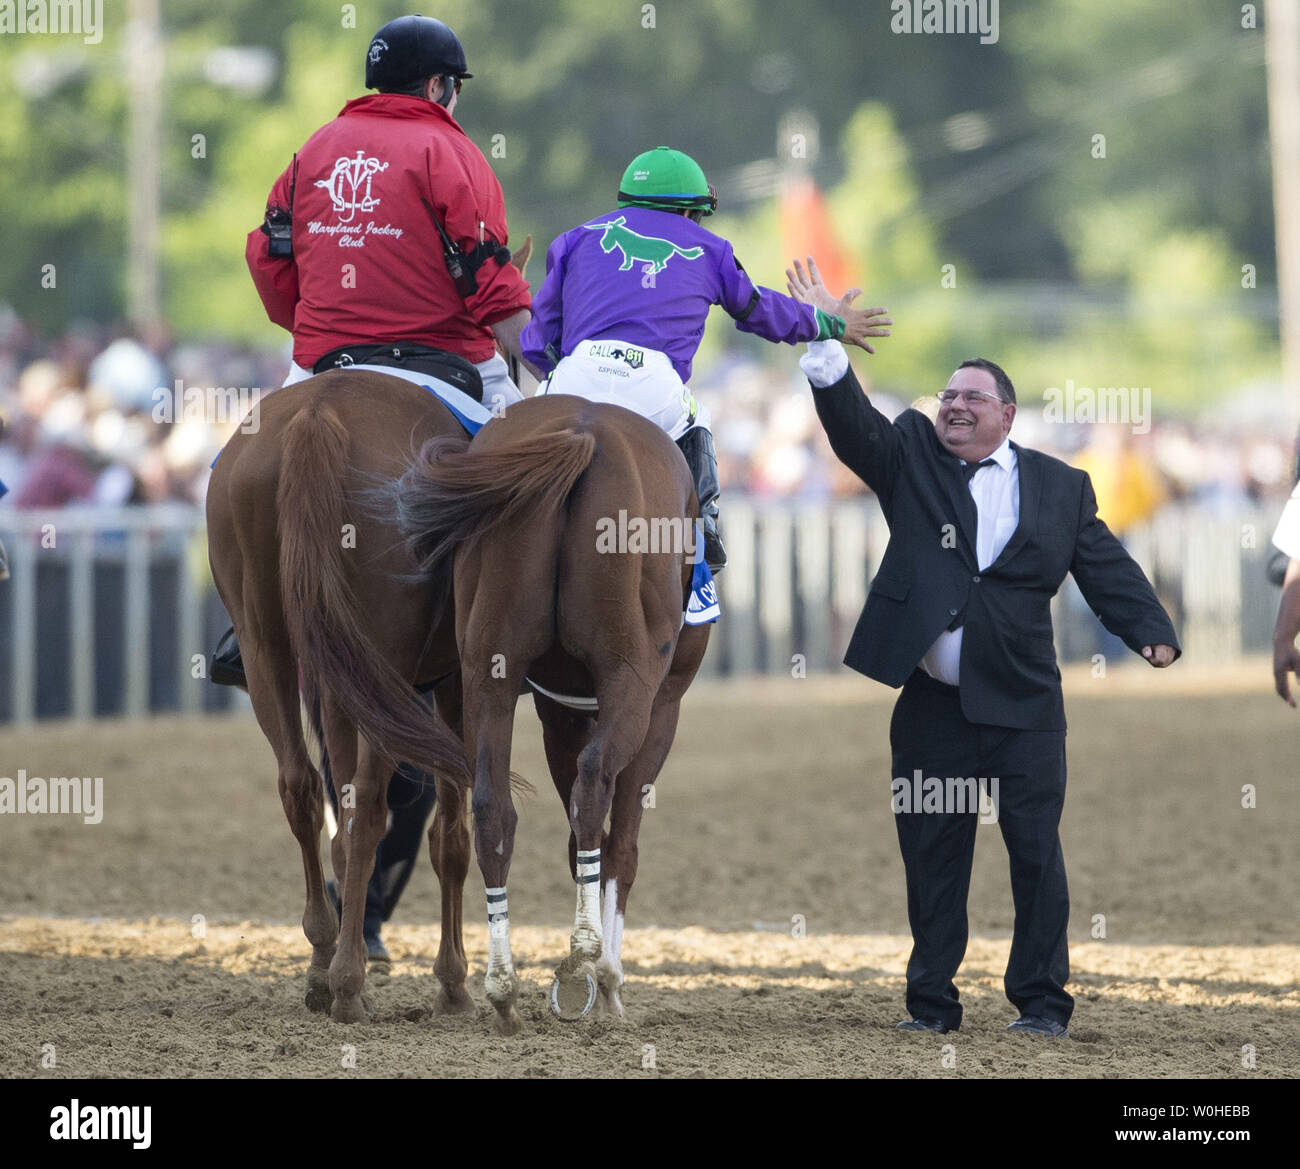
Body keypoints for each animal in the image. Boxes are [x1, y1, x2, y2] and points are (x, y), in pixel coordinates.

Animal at [208, 374, 478, 1024]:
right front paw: (453, 984)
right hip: (383, 665)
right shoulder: (456, 680)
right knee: (372, 810)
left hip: (269, 645)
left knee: (303, 789)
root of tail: (319, 411)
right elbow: (450, 835)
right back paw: (350, 983)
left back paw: (324, 962)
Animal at [392, 395, 712, 1035]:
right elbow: (620, 845)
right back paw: (585, 951)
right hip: (630, 678)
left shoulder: (557, 709)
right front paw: (607, 981)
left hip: (489, 671)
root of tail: (581, 432)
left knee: (493, 809)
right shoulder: (660, 708)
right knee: (595, 782)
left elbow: (578, 841)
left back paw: (503, 988)